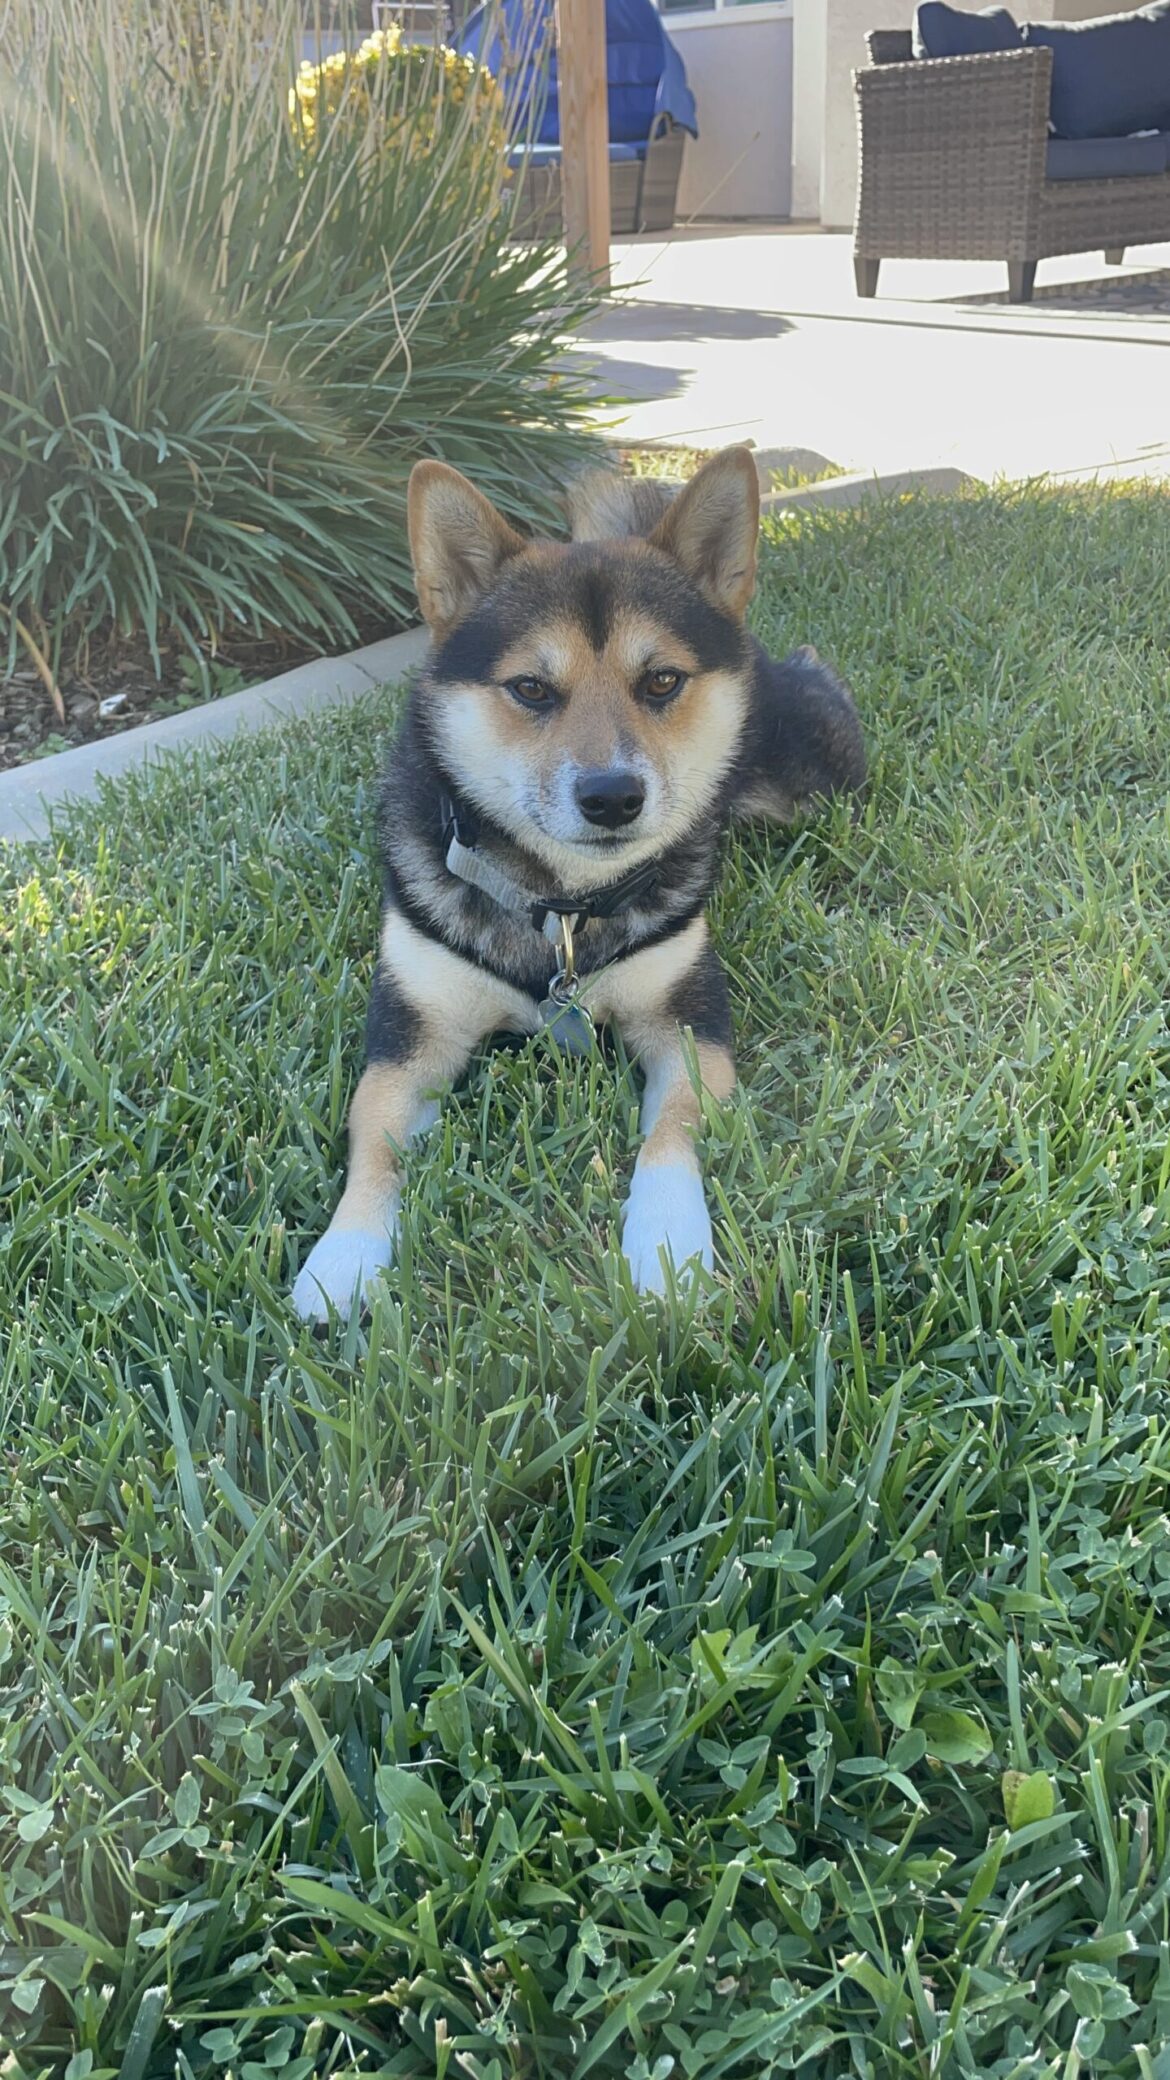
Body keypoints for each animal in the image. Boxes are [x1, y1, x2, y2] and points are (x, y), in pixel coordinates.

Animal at [289, 449, 857, 1322]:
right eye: (530, 688)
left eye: (661, 681)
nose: (613, 796)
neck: (562, 907)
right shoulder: (414, 1023)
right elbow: (374, 1129)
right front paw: (346, 1254)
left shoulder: (686, 1018)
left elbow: (675, 1129)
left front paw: (666, 1246)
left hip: (818, 779)